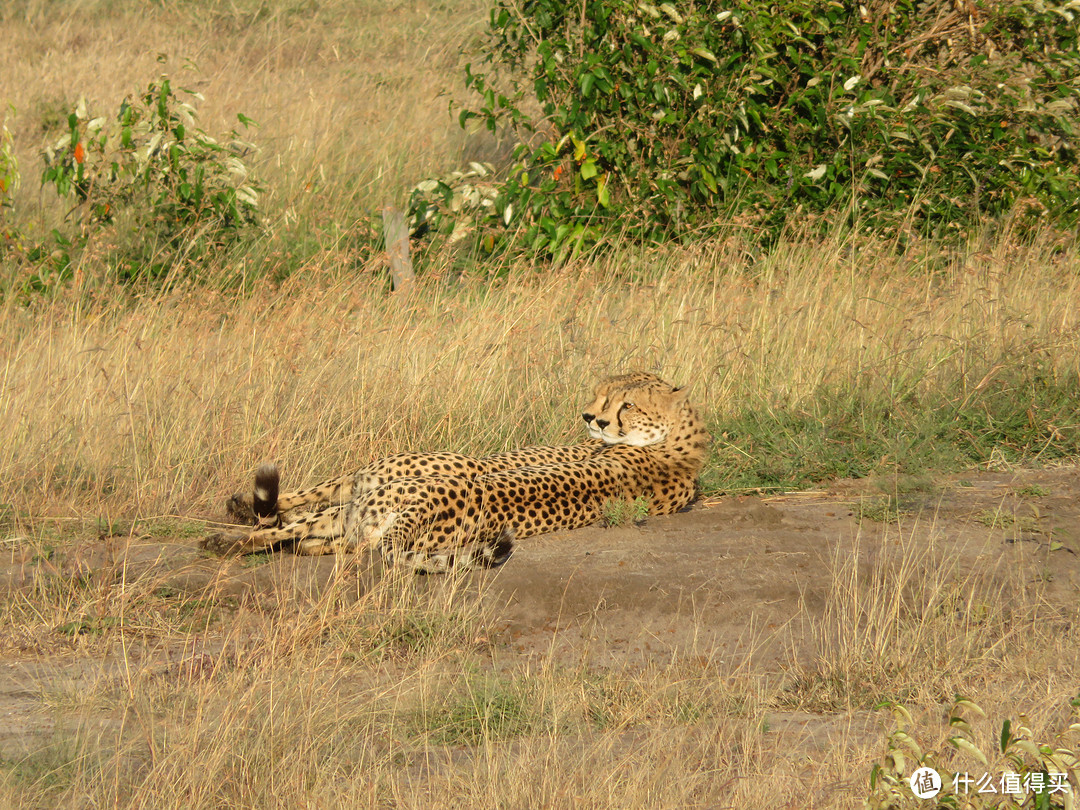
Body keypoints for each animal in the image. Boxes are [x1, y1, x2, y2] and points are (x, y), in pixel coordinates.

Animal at [207, 373, 708, 570]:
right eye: (601, 394)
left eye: (625, 404)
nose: (590, 417)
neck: (679, 448)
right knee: (320, 528)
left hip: (374, 487)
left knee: (294, 523)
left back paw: (227, 537)